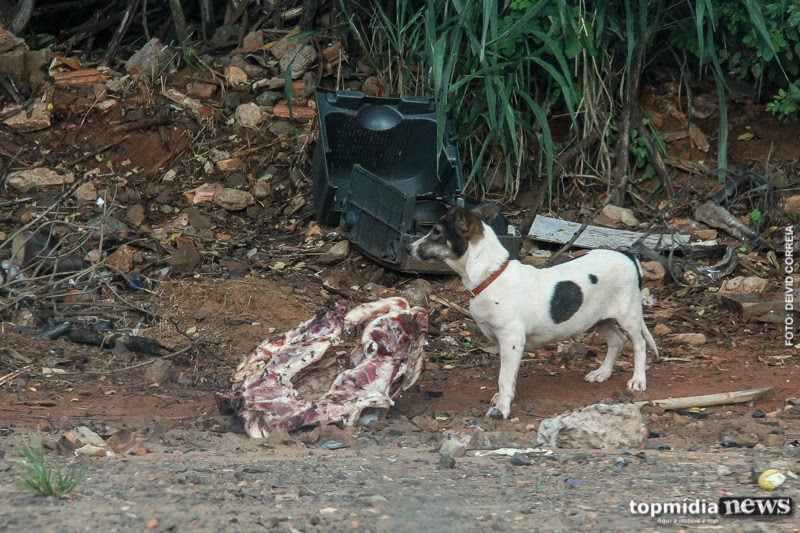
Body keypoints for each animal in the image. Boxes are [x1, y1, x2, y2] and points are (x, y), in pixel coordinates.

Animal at [410, 204, 660, 420]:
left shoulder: (512, 341)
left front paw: (502, 408)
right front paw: (504, 399)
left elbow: (504, 378)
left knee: (639, 343)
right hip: (598, 319)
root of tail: (629, 256)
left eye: (436, 232)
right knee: (617, 341)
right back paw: (602, 373)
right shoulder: (502, 342)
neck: (490, 276)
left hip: (628, 316)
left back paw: (638, 380)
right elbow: (508, 377)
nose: (407, 248)